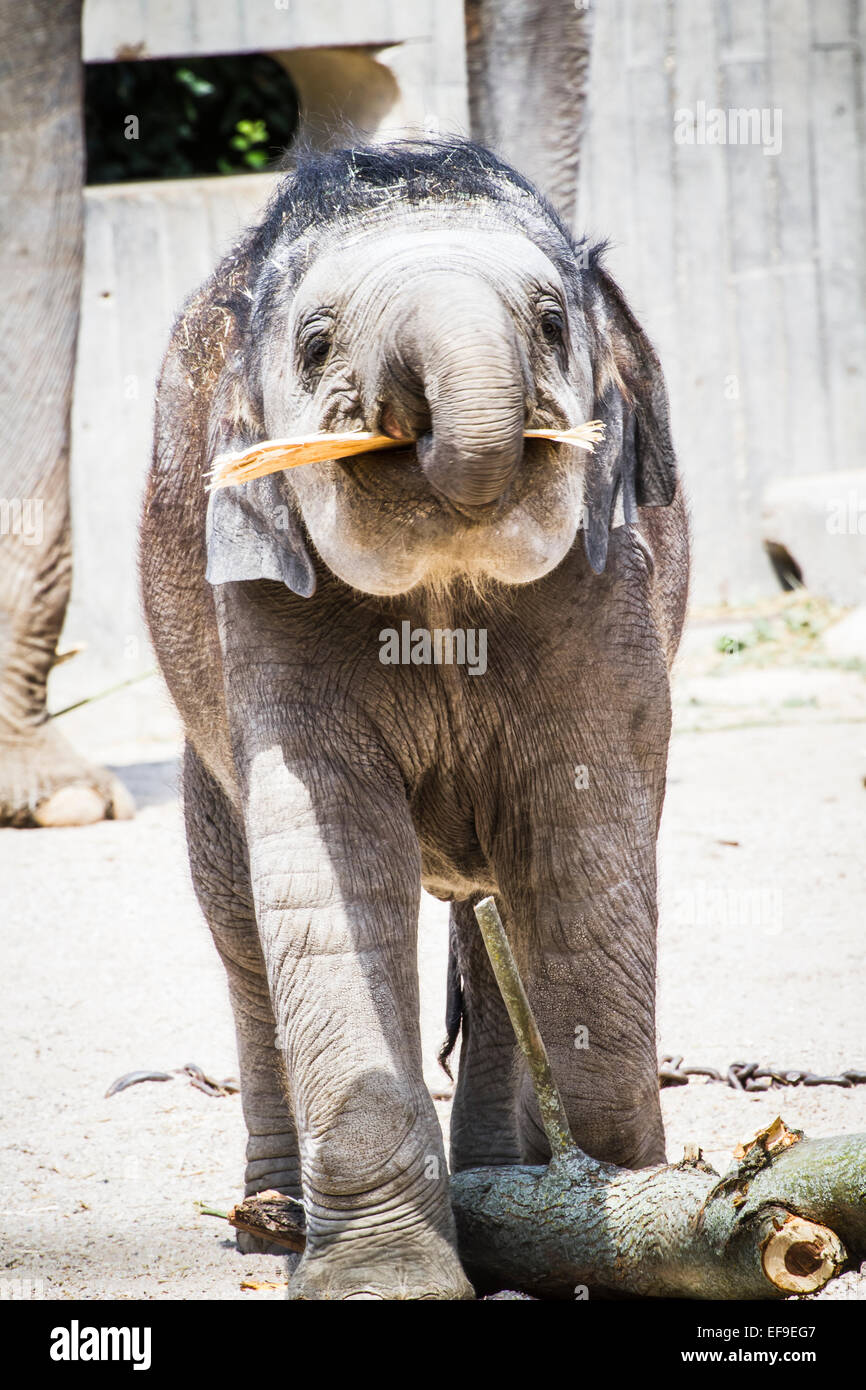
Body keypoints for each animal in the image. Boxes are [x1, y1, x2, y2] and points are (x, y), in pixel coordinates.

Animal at [140, 136, 688, 1300]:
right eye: (313, 345)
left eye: (550, 324)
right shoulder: (266, 601)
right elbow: (328, 871)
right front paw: (383, 1281)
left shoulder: (606, 585)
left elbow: (583, 852)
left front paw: (623, 1227)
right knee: (240, 927)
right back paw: (271, 1222)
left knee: (496, 909)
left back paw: (504, 1179)